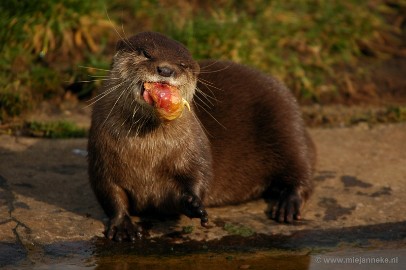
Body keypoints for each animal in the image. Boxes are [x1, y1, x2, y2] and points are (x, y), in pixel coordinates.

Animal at [88, 31, 318, 240]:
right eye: (146, 53)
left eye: (182, 64)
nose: (166, 69)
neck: (147, 156)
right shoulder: (101, 158)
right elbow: (110, 193)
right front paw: (122, 225)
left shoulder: (194, 146)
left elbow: (199, 176)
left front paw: (194, 203)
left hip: (287, 125)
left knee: (303, 172)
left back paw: (288, 204)